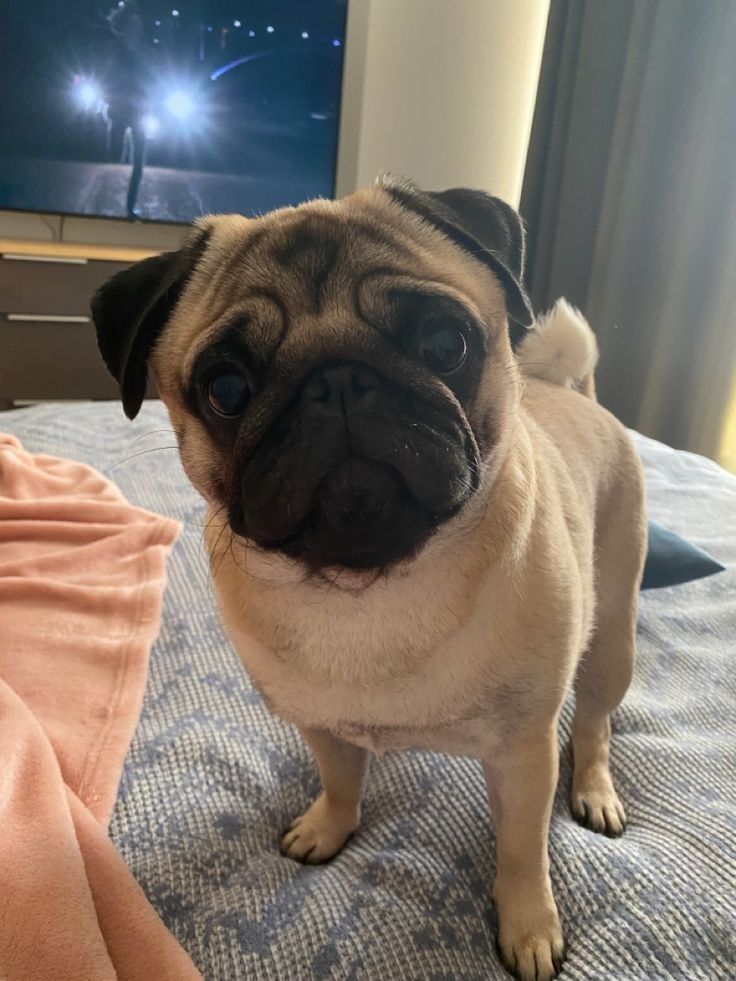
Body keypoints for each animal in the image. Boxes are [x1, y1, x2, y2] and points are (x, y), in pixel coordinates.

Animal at [90, 178, 644, 980]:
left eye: (446, 344)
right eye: (225, 387)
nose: (338, 380)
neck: (368, 590)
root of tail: (578, 395)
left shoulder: (522, 753)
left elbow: (520, 849)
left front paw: (530, 926)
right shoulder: (320, 723)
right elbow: (341, 780)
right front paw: (329, 827)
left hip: (612, 634)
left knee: (596, 719)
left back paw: (596, 791)